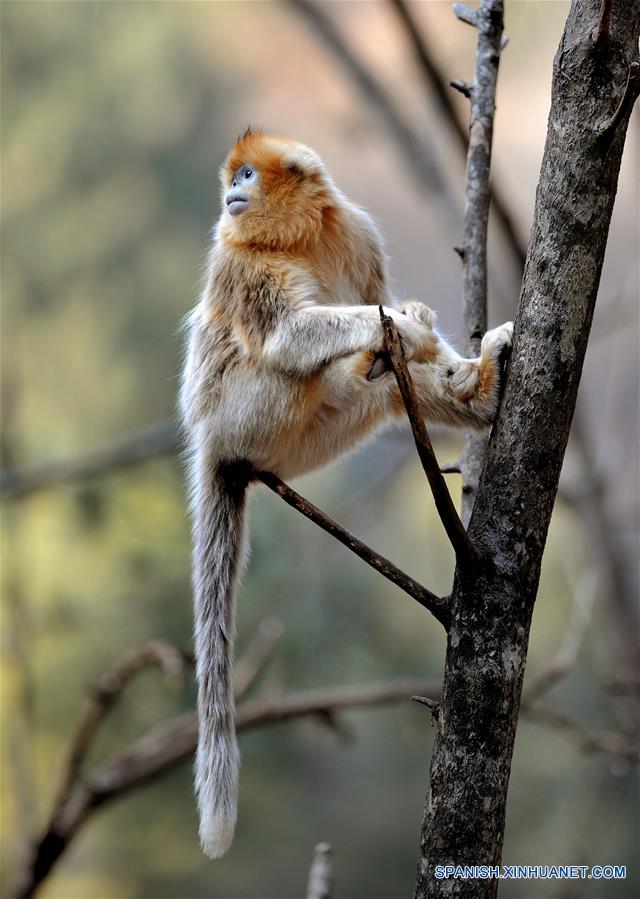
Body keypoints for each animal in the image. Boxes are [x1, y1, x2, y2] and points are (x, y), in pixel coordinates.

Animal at [180, 132, 516, 856]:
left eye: (245, 174)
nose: (230, 194)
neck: (300, 235)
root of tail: (214, 445)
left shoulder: (358, 231)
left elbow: (390, 317)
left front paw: (437, 352)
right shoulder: (239, 260)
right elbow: (286, 335)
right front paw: (410, 325)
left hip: (315, 435)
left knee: (388, 386)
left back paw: (470, 388)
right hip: (247, 415)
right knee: (293, 363)